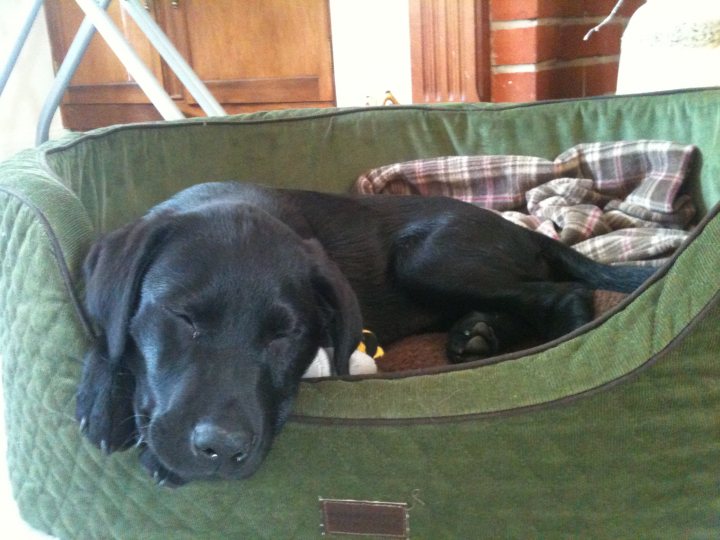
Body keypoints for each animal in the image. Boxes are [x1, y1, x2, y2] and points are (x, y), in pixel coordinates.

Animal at [76, 180, 656, 486]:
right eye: (182, 318)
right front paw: (103, 396)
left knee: (564, 296)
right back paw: (476, 336)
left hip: (427, 259)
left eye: (286, 335)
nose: (220, 449)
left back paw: (564, 345)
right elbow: (108, 331)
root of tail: (524, 230)